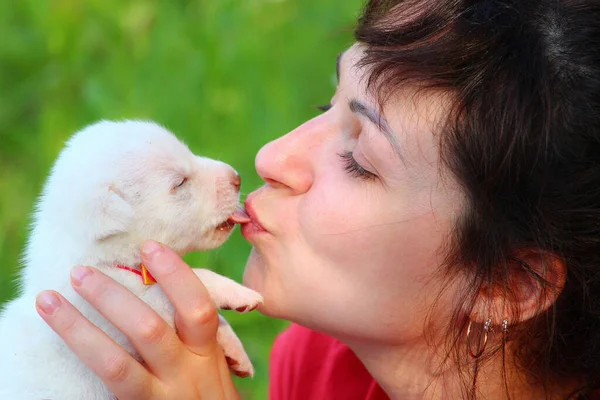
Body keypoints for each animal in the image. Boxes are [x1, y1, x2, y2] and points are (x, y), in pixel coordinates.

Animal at [0, 120, 262, 400]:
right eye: (179, 182)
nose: (237, 177)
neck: (105, 260)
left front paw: (234, 346)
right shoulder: (126, 319)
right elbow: (195, 277)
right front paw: (238, 292)